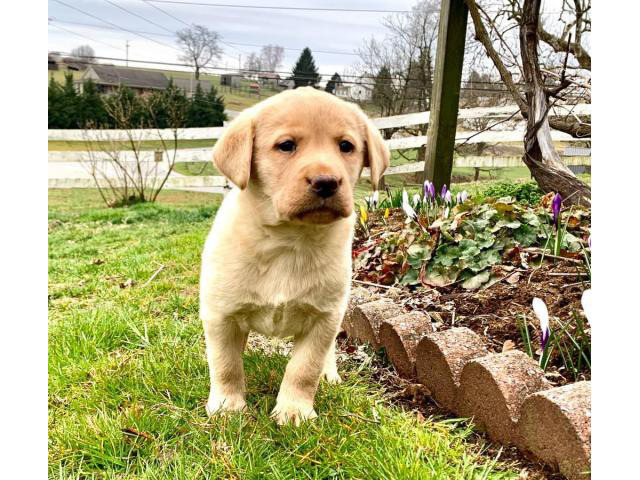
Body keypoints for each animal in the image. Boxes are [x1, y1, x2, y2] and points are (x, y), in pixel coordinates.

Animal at [201, 86, 390, 424]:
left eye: (346, 146)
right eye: (286, 146)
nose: (326, 182)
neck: (290, 240)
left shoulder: (324, 319)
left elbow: (304, 369)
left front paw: (294, 411)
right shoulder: (221, 314)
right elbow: (226, 364)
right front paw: (227, 406)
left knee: (327, 353)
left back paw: (330, 374)